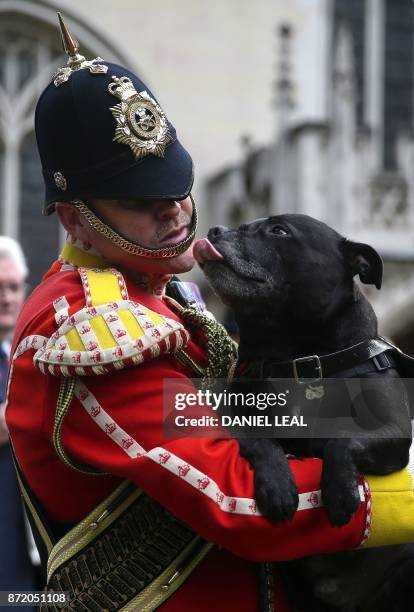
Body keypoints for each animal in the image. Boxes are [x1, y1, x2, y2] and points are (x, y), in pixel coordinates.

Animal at [195, 213, 414, 608]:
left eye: (279, 231)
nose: (215, 231)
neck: (296, 360)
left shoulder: (394, 436)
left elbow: (342, 439)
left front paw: (341, 491)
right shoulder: (230, 418)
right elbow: (259, 439)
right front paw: (278, 484)